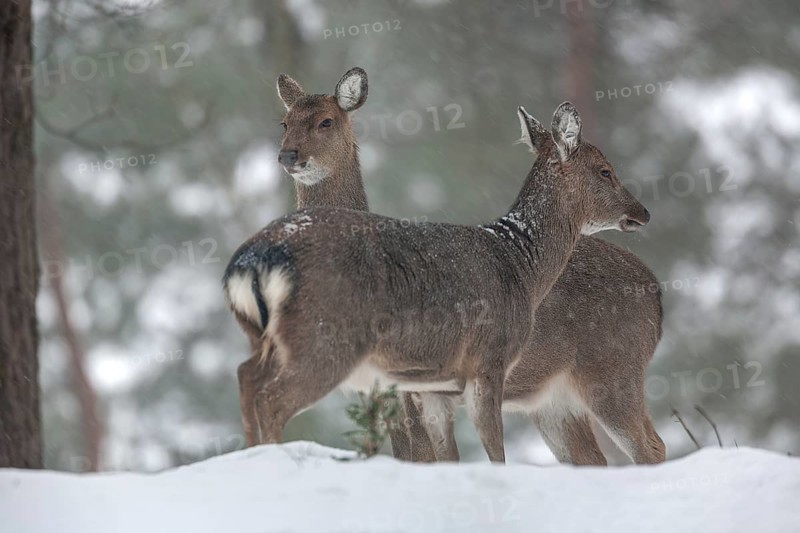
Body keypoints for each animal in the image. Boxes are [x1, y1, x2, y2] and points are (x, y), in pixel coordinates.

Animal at [262, 68, 664, 466]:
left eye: (326, 121)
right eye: (284, 122)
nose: (288, 155)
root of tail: (657, 293)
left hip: (613, 371)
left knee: (650, 447)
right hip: (554, 401)